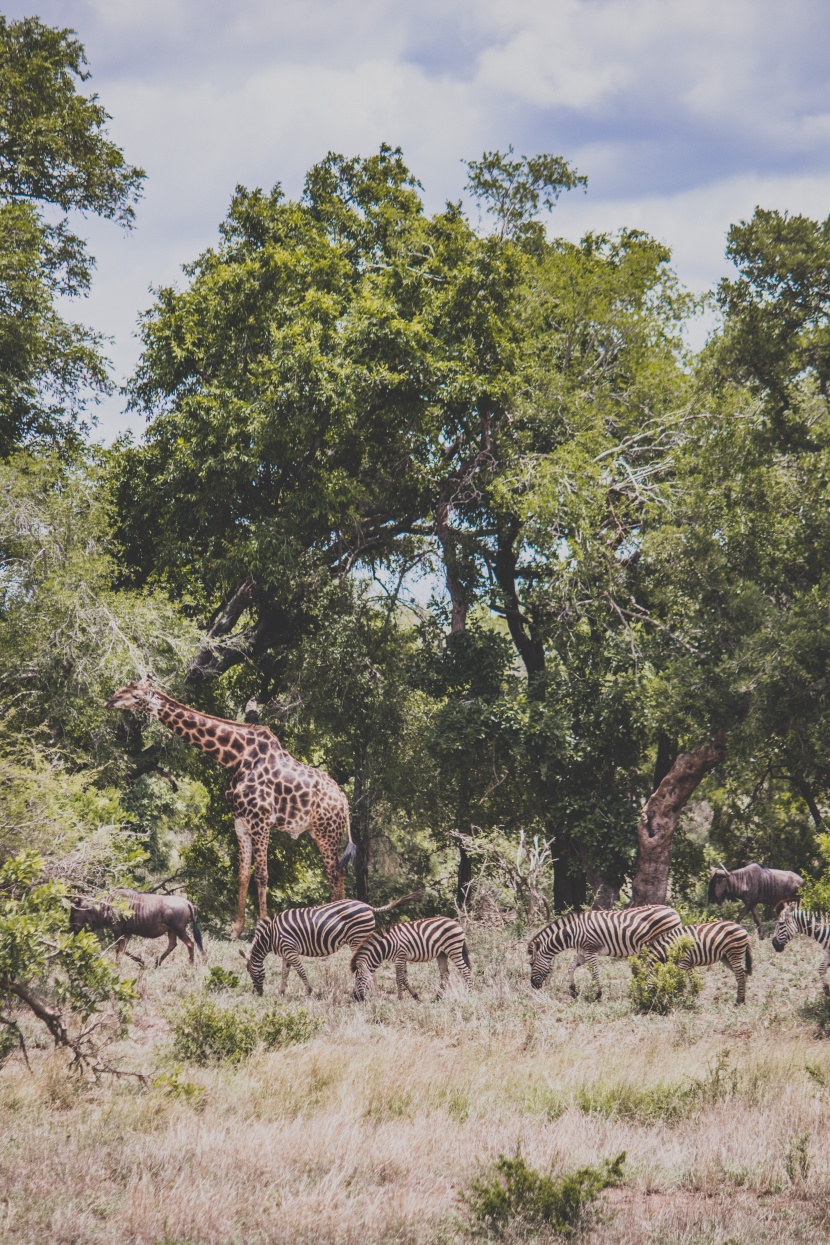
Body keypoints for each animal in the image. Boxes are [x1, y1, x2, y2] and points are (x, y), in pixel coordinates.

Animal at [103, 682, 353, 936]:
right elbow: (242, 874)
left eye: (136, 695)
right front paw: (236, 929)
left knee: (335, 873)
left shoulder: (261, 821)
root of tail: (344, 800)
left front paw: (262, 926)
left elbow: (262, 875)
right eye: (124, 686)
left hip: (326, 831)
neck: (236, 758)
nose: (110, 701)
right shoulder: (241, 821)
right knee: (338, 872)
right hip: (319, 831)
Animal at [240, 891, 423, 996]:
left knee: (367, 965)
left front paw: (309, 991)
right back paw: (372, 991)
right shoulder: (286, 952)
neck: (270, 936)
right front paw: (281, 992)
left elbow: (300, 971)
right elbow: (285, 973)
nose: (257, 994)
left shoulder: (290, 949)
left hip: (358, 938)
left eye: (250, 971)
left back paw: (369, 992)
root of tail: (368, 906)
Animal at [525, 906, 681, 1000]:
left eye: (531, 963)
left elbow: (594, 972)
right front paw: (573, 991)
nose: (533, 986)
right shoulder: (582, 953)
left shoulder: (590, 950)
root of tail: (674, 911)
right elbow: (570, 967)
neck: (572, 933)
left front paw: (598, 994)